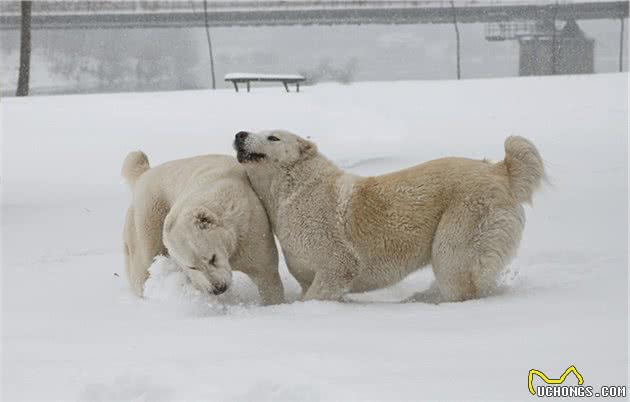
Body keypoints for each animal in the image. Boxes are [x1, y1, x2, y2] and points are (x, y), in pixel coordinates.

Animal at [119, 152, 286, 304]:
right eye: (192, 267)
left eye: (212, 258)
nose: (218, 288)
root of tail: (143, 175)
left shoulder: (249, 228)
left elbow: (265, 274)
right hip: (147, 216)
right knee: (143, 263)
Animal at [235, 130, 544, 304]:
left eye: (273, 137)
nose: (239, 134)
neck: (293, 189)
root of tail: (500, 171)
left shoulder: (337, 262)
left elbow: (322, 288)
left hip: (460, 229)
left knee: (458, 280)